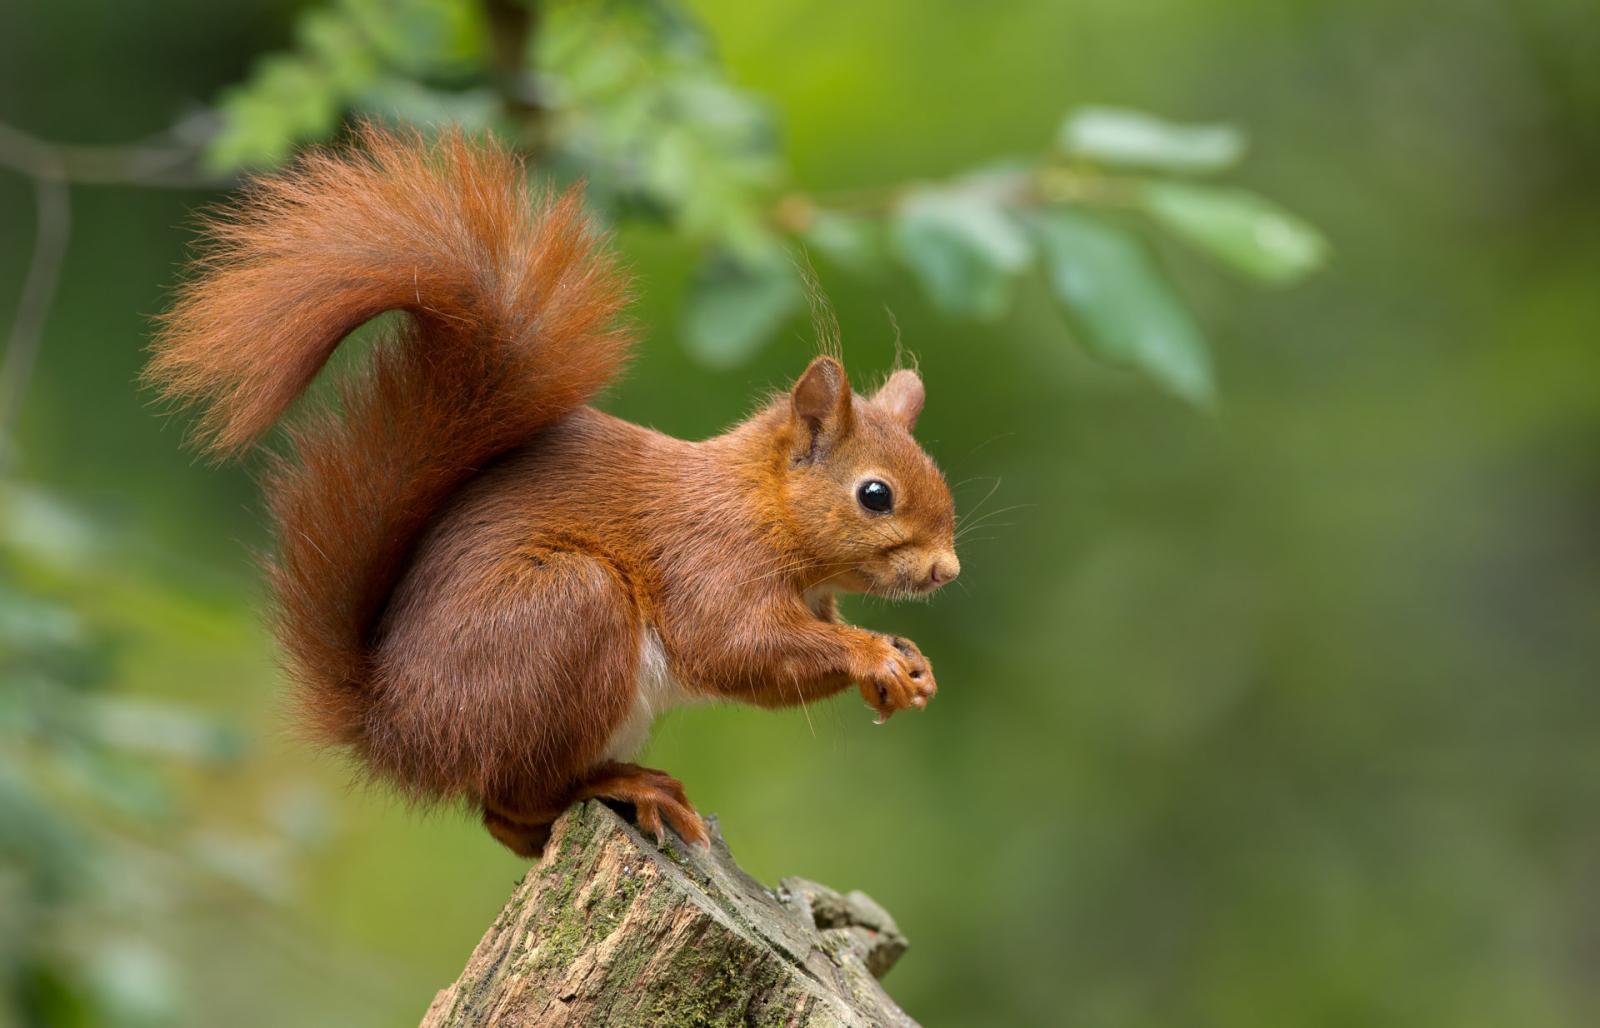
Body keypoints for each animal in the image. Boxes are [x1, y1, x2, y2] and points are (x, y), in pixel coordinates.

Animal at [145, 126, 960, 857]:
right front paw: (872, 655)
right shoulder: (710, 559)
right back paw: (622, 785)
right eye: (876, 495)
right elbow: (736, 647)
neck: (761, 507)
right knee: (515, 796)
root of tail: (397, 732)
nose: (946, 570)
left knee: (503, 822)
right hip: (567, 613)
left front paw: (908, 662)